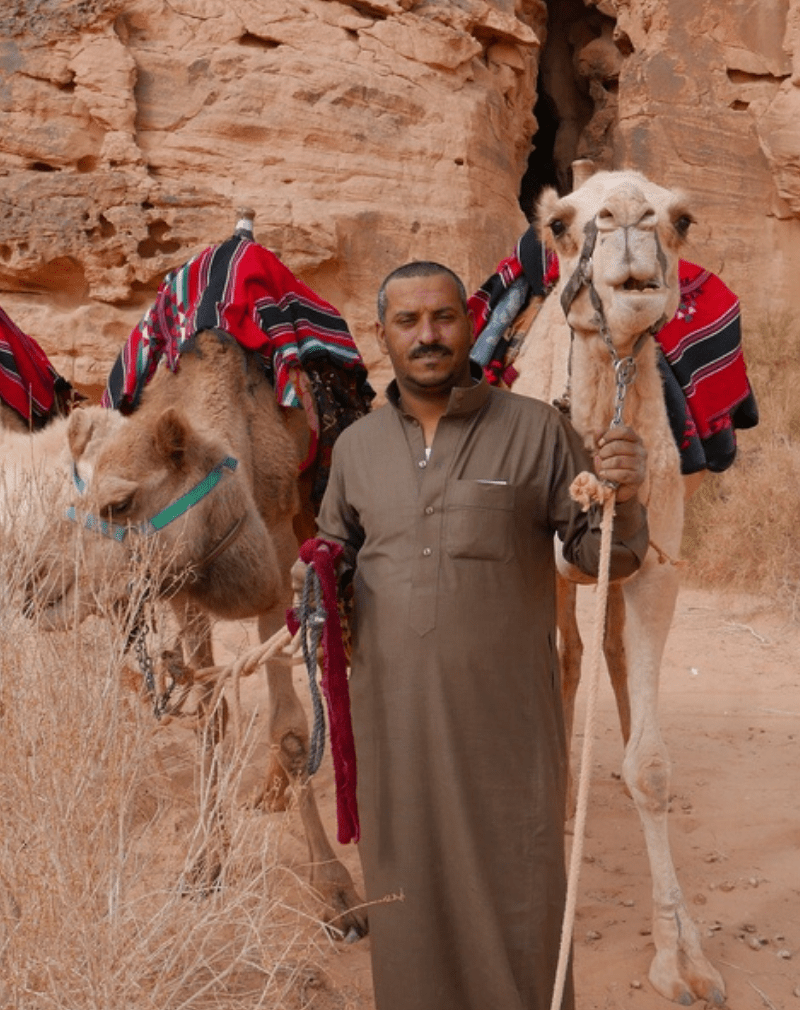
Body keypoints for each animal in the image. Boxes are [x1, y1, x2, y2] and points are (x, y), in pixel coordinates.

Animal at [24, 331, 369, 937]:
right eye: (75, 491)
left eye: (119, 503)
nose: (34, 584)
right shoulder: (182, 589)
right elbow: (210, 715)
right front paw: (205, 866)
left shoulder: (275, 565)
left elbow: (289, 728)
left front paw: (337, 893)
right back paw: (271, 793)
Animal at [515, 169, 727, 1005]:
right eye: (564, 222)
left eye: (681, 218)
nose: (630, 221)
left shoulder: (659, 565)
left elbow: (653, 766)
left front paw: (683, 956)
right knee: (573, 658)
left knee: (606, 658)